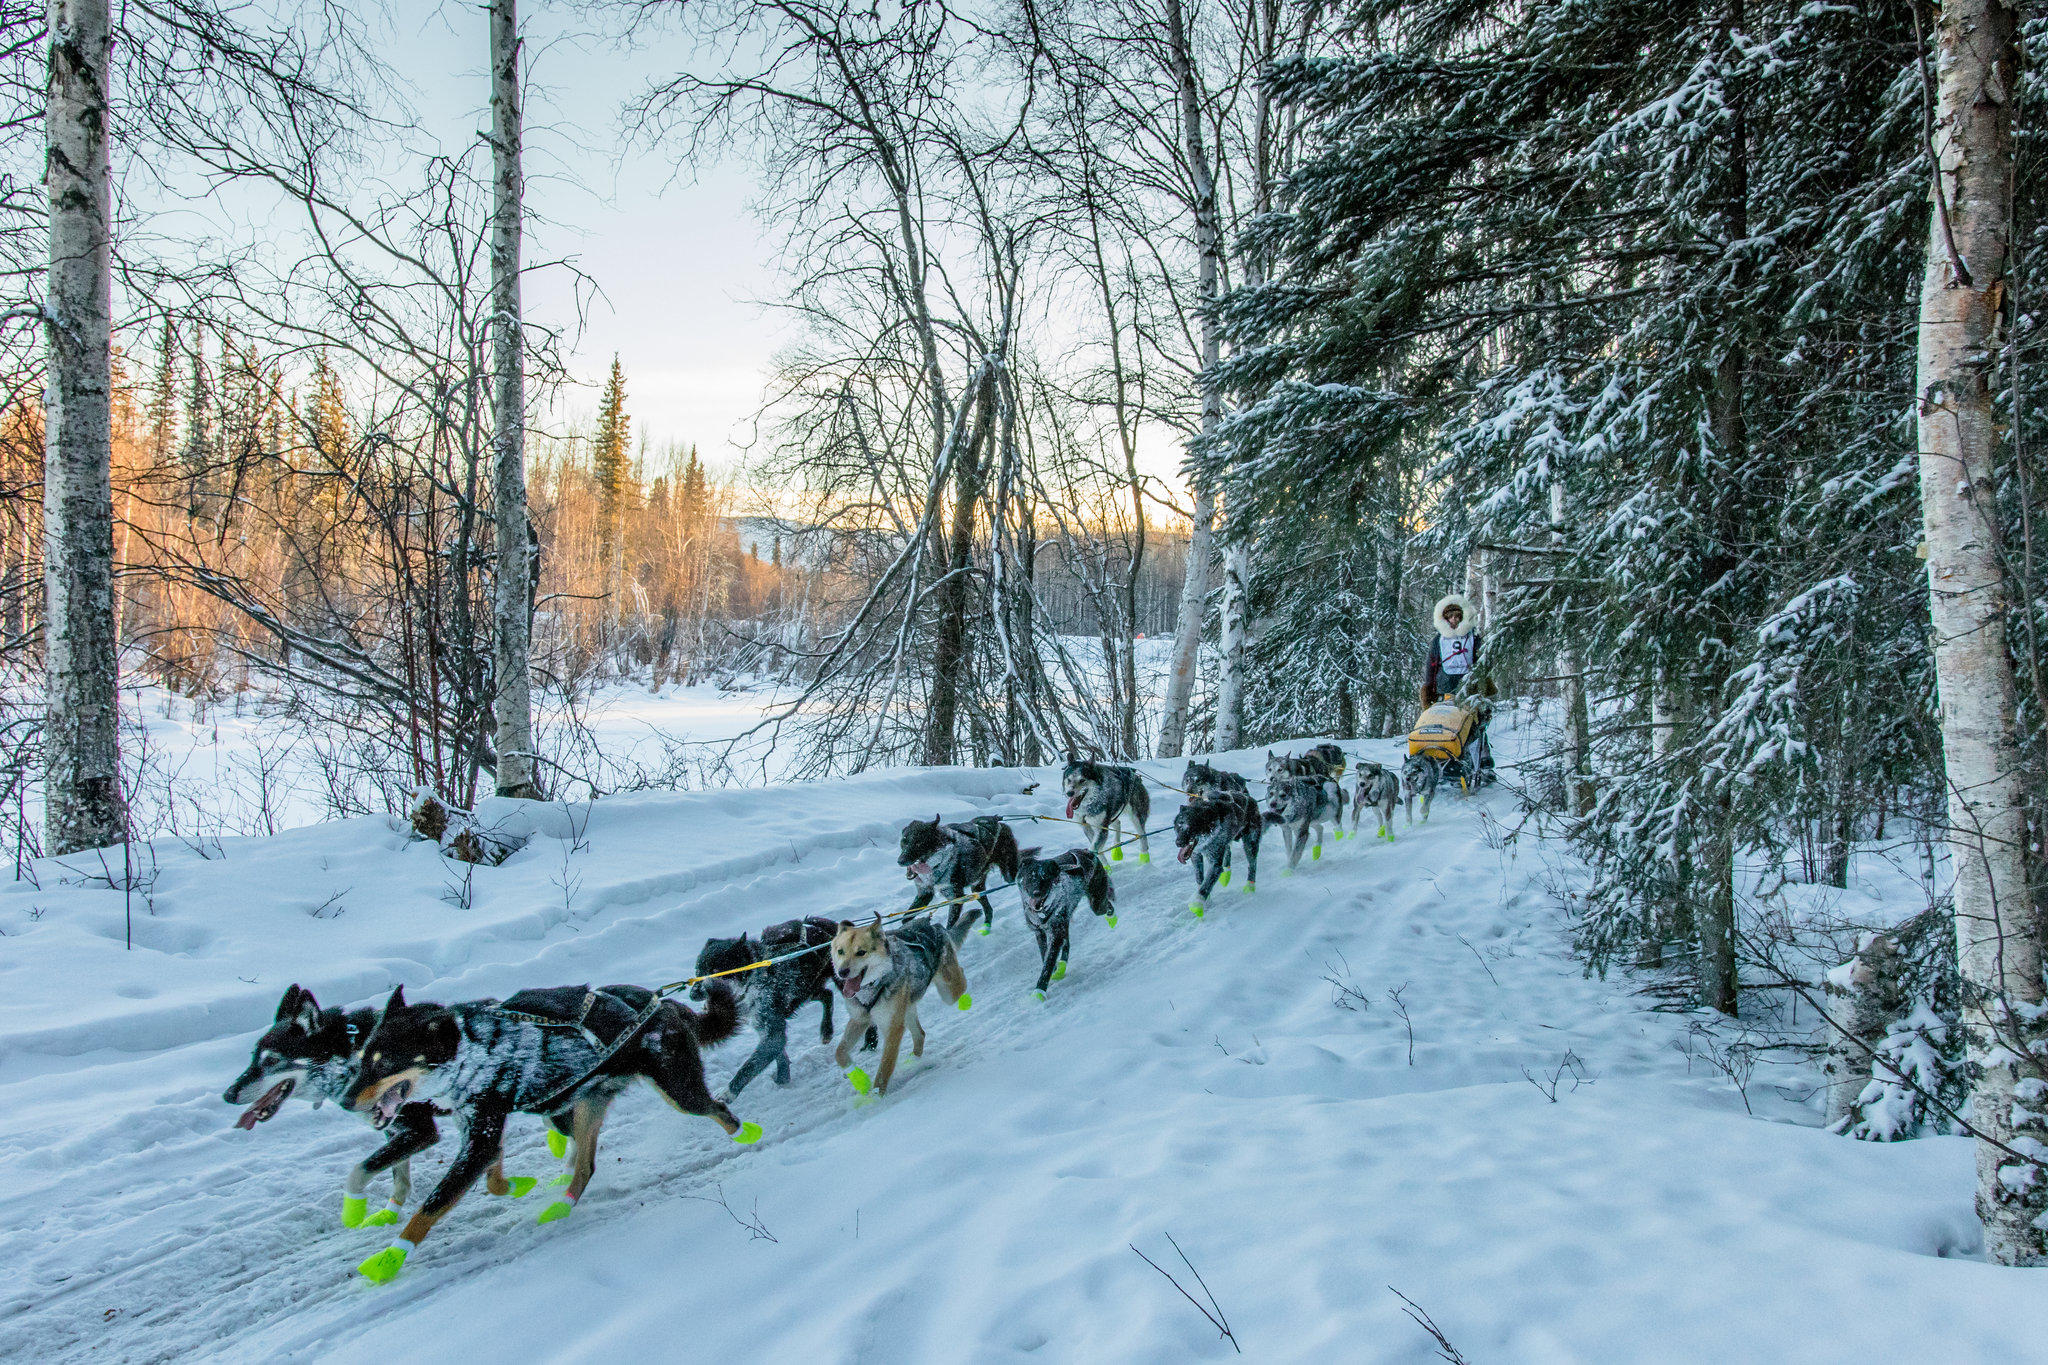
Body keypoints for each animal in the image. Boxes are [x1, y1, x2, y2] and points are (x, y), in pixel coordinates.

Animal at [224, 982, 448, 1227]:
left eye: (272, 1060)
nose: (228, 1094)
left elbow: (359, 1171)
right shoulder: (394, 1130)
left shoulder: (420, 1130)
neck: (351, 1055)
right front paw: (388, 1214)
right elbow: (400, 1179)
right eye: (253, 1056)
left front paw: (355, 1210)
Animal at [348, 982, 757, 1285]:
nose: (347, 1099)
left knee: (719, 1111)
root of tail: (661, 1002)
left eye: (384, 1063)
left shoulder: (481, 1136)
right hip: (586, 1103)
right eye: (363, 1058)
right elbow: (493, 1175)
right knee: (586, 1164)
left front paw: (389, 1258)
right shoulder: (481, 1131)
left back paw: (747, 1134)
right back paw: (562, 1199)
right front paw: (515, 1184)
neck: (471, 1049)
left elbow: (429, 1208)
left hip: (679, 1093)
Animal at [688, 916, 847, 1096]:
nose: (693, 995)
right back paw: (827, 1030)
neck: (752, 983)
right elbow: (779, 1055)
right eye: (698, 971)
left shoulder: (772, 1030)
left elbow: (749, 1066)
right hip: (807, 991)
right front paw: (783, 1077)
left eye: (715, 971)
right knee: (827, 995)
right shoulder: (765, 1027)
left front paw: (728, 1093)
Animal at [823, 916, 974, 1096]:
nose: (842, 972)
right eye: (840, 951)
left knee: (961, 976)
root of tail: (934, 925)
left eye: (861, 952)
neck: (876, 983)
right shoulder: (859, 1019)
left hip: (948, 992)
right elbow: (839, 1053)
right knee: (920, 1034)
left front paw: (875, 1098)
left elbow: (884, 1069)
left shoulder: (892, 1028)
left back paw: (965, 1000)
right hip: (906, 1009)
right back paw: (913, 1062)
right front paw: (859, 1078)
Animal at [1011, 847, 1114, 998]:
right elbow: (1045, 953)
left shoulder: (1056, 933)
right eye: (1030, 876)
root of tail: (1086, 851)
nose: (1036, 893)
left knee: (1107, 905)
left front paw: (1039, 991)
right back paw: (1061, 965)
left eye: (1045, 877)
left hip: (1096, 904)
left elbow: (1048, 962)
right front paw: (1054, 970)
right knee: (1067, 943)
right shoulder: (1040, 932)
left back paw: (1112, 916)